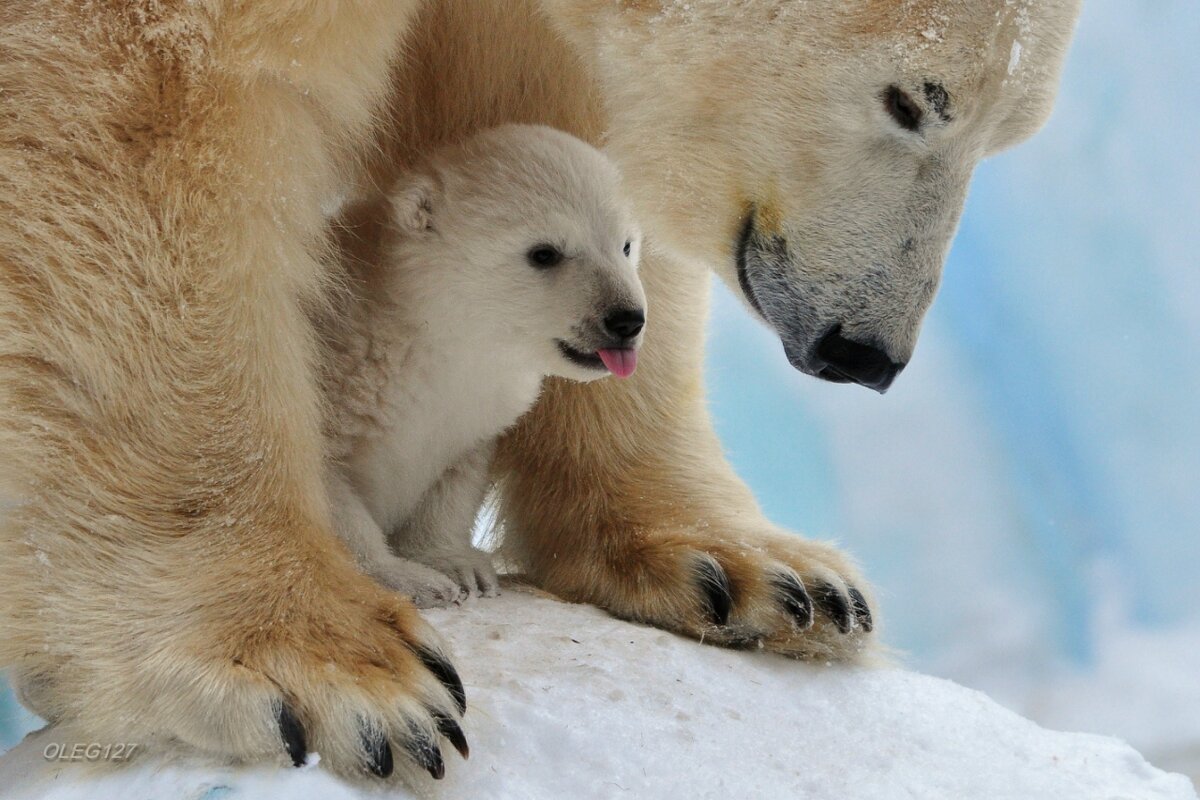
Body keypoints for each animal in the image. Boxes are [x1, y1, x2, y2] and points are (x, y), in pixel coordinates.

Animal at [0, 0, 1084, 782]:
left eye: (1010, 130)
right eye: (913, 100)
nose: (866, 350)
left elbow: (546, 92)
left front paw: (758, 575)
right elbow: (139, 118)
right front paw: (321, 664)